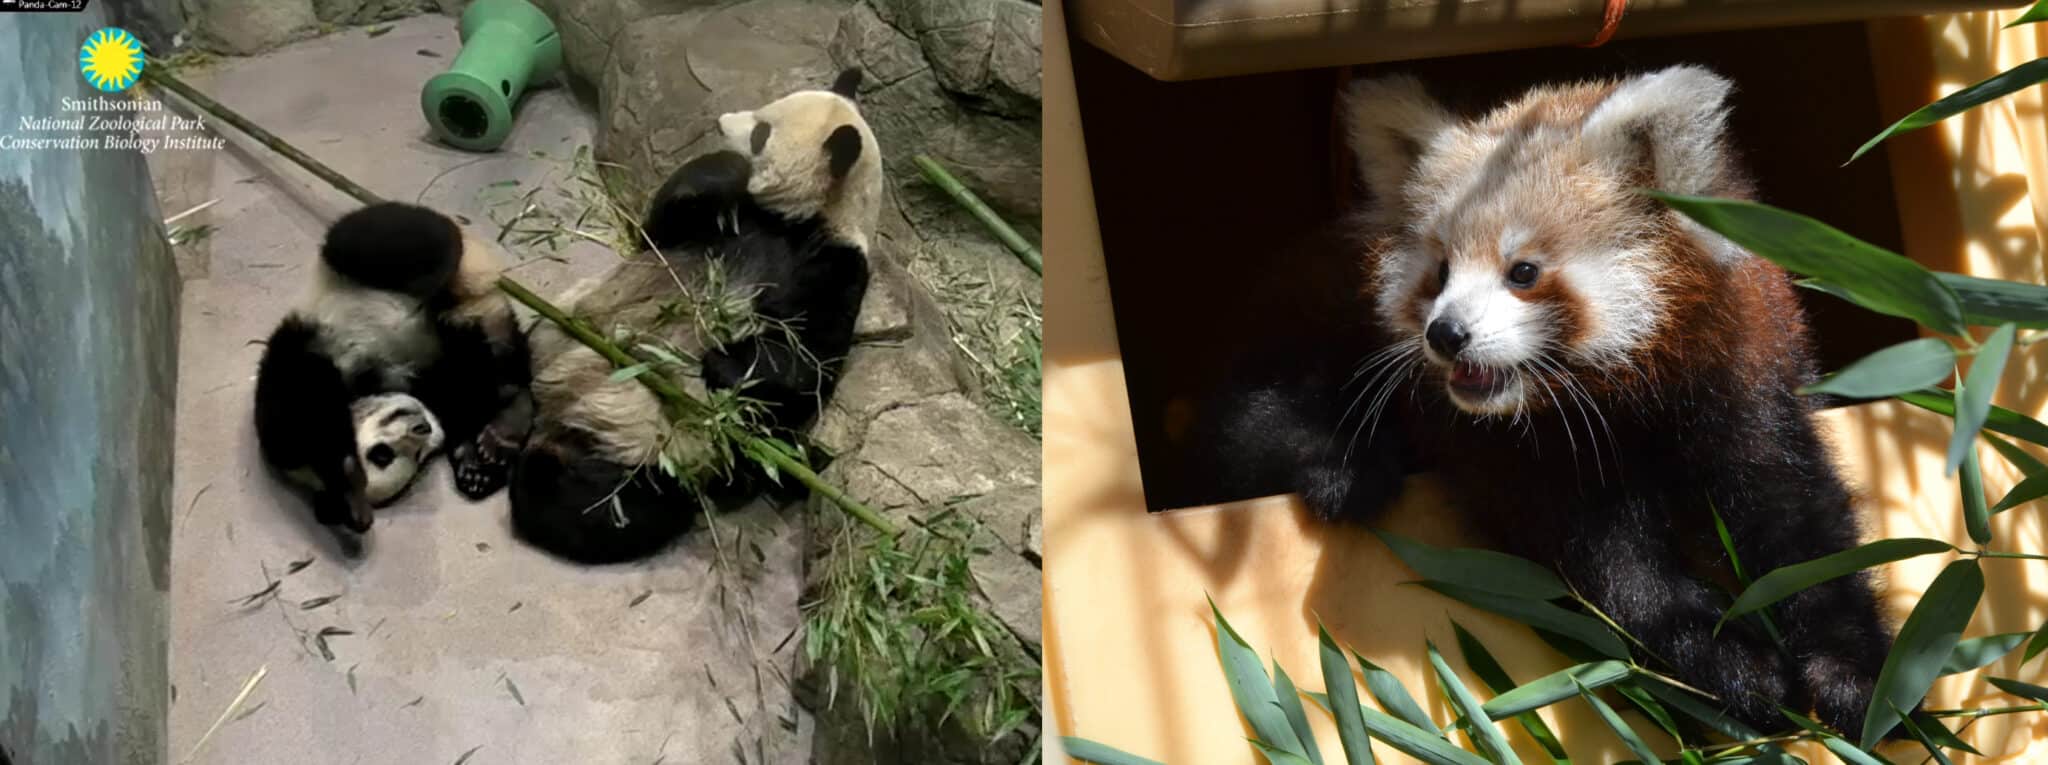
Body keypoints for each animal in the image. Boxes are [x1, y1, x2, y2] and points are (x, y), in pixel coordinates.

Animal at [254, 202, 529, 533]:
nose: (421, 428)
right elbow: (462, 402)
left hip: (364, 268)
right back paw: (503, 430)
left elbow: (292, 413)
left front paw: (347, 482)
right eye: (388, 456)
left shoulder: (297, 350)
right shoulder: (431, 385)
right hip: (468, 330)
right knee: (495, 369)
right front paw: (474, 467)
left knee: (392, 241)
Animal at [471, 70, 879, 564]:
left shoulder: (837, 266)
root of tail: (556, 414)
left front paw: (720, 364)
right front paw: (720, 171)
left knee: (595, 504)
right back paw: (493, 443)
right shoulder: (711, 228)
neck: (802, 217)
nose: (721, 122)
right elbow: (659, 226)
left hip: (649, 449)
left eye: (761, 134)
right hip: (552, 328)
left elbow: (805, 358)